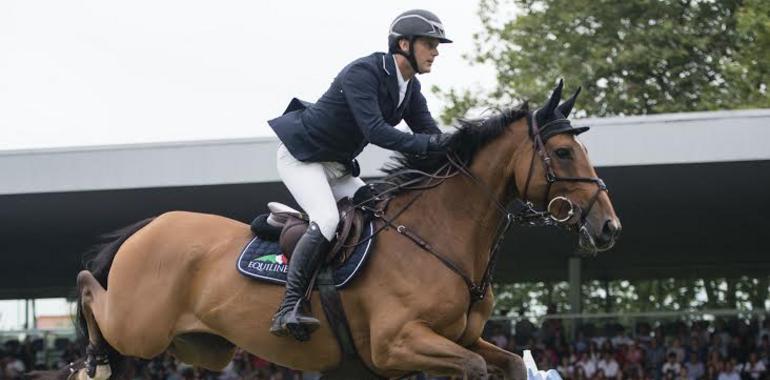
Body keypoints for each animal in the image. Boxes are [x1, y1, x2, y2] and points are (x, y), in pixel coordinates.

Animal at [33, 80, 616, 380]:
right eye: (563, 151)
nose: (609, 226)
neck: (439, 235)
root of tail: (151, 225)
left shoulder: (461, 338)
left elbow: (508, 364)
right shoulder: (398, 345)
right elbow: (471, 367)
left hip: (199, 346)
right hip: (141, 325)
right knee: (90, 289)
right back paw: (89, 361)